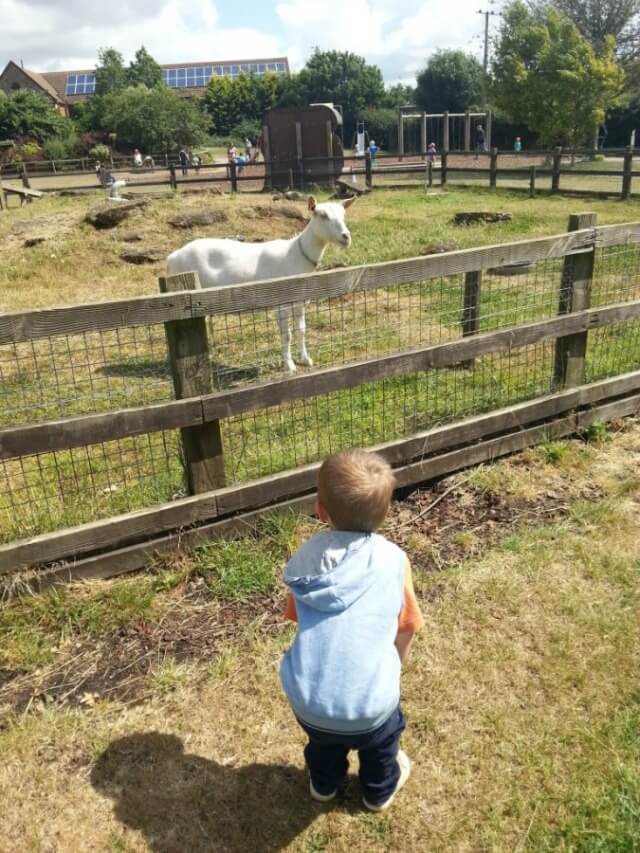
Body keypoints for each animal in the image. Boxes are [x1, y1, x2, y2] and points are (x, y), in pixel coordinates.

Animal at [165, 198, 356, 374]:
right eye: (322, 215)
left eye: (344, 214)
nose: (346, 237)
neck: (294, 254)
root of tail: (172, 257)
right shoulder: (281, 304)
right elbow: (287, 335)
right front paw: (289, 365)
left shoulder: (300, 301)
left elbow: (301, 330)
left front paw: (306, 359)